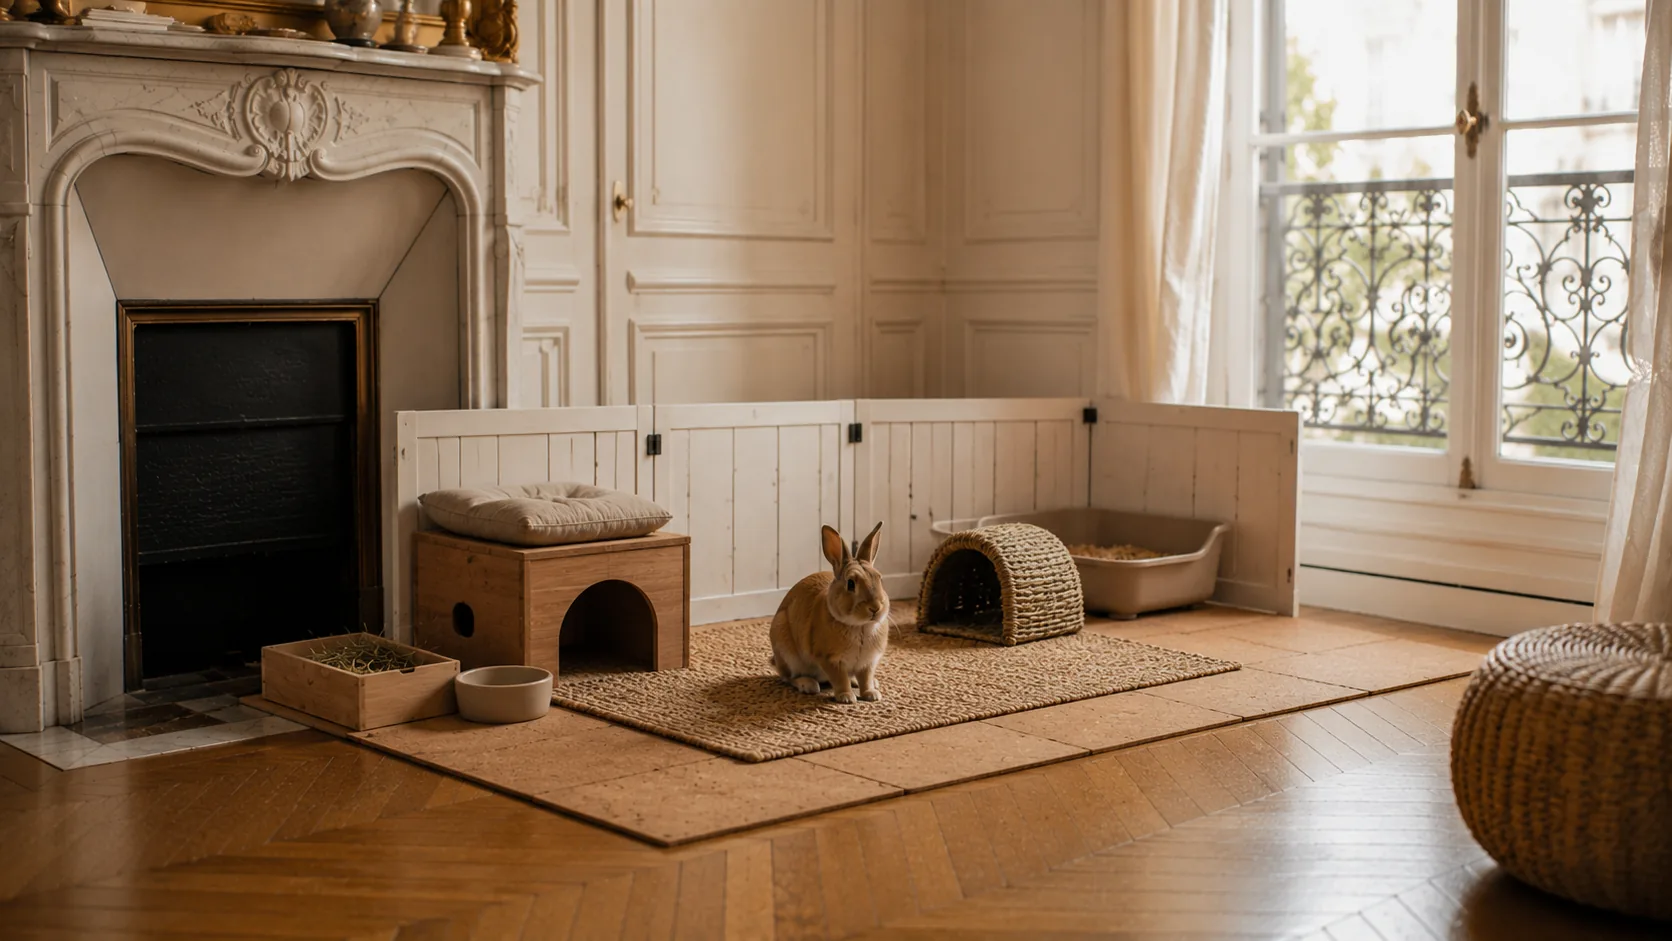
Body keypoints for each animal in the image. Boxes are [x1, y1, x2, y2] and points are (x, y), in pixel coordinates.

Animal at [769, 522, 890, 704]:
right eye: (850, 584)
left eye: (880, 579)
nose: (875, 608)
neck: (860, 626)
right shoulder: (830, 659)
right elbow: (840, 679)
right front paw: (846, 697)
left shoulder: (868, 663)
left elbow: (866, 679)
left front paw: (872, 694)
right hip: (786, 651)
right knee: (788, 677)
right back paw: (808, 685)